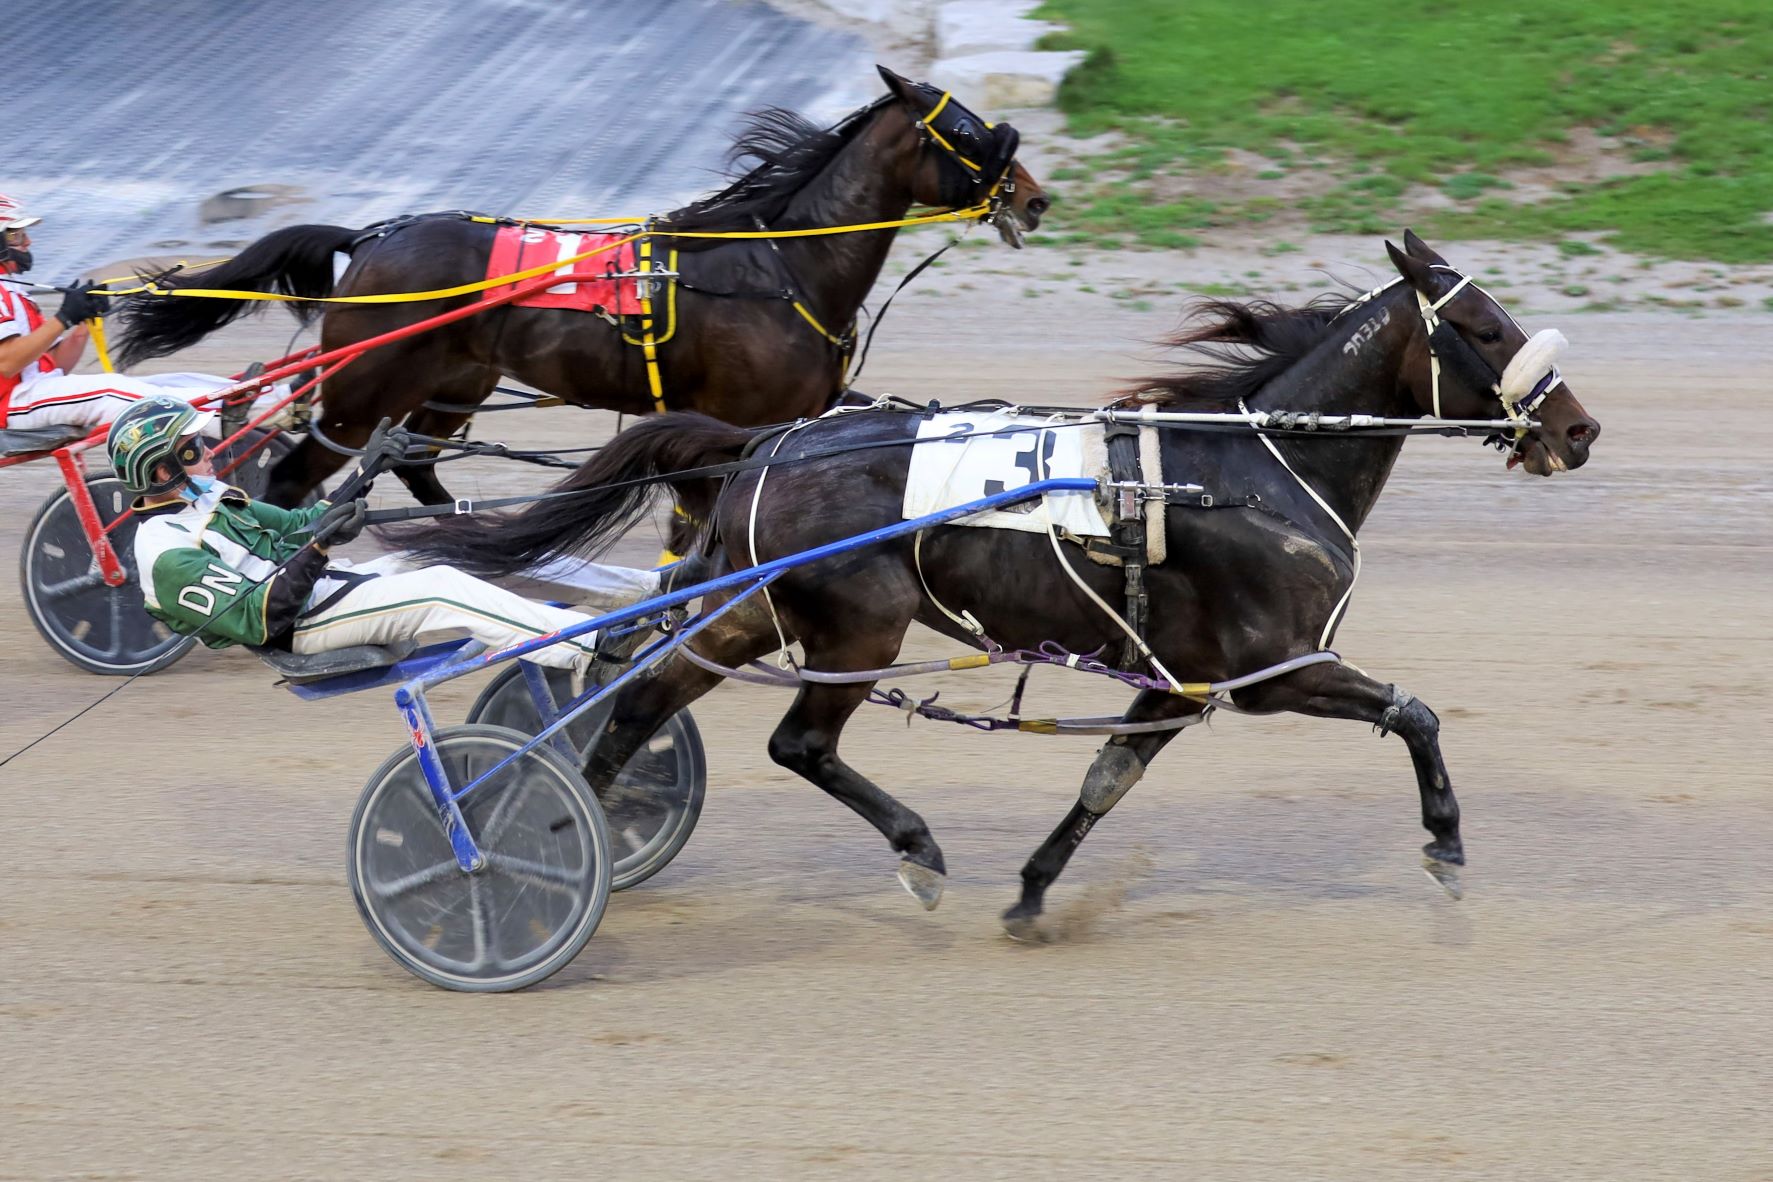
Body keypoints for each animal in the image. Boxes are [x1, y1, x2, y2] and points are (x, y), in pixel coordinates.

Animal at [103, 64, 1042, 510]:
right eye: (964, 132)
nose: (1032, 198)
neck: (779, 266)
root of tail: (372, 237)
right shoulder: (734, 422)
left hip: (453, 383)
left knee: (415, 468)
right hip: (364, 387)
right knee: (295, 474)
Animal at [391, 228, 1609, 935]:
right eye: (1483, 323)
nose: (1579, 429)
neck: (1252, 468)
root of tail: (770, 443)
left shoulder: (1178, 682)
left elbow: (1106, 781)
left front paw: (1030, 892)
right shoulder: (1278, 669)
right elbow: (1415, 713)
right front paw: (1445, 841)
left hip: (750, 608)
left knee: (646, 696)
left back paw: (566, 826)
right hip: (854, 626)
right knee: (795, 742)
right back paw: (908, 850)